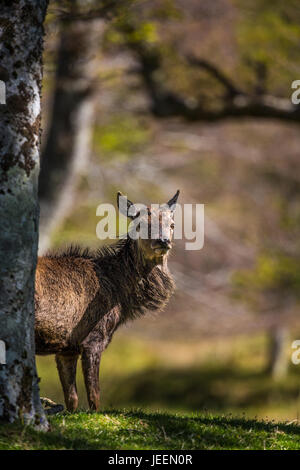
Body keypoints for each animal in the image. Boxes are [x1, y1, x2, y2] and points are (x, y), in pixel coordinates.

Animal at [35, 191, 180, 412]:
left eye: (172, 224)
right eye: (140, 224)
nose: (162, 241)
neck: (119, 295)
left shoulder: (67, 346)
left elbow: (72, 400)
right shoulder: (95, 335)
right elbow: (94, 398)